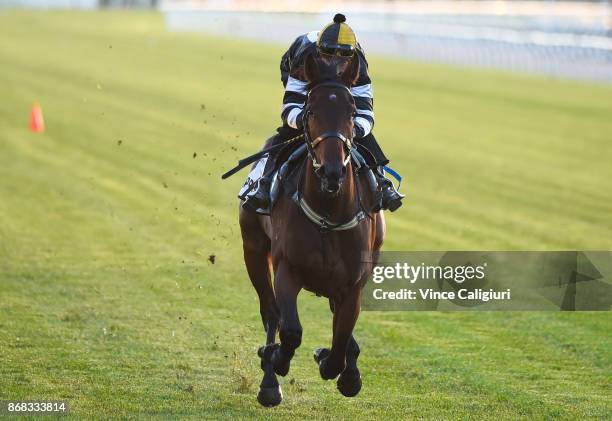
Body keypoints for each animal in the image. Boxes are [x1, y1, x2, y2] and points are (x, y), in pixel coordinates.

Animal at [238, 50, 384, 406]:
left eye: (351, 112)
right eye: (311, 110)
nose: (332, 171)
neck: (328, 213)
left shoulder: (353, 285)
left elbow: (340, 341)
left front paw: (341, 369)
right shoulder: (287, 270)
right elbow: (290, 331)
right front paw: (277, 360)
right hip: (253, 250)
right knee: (270, 312)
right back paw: (269, 379)